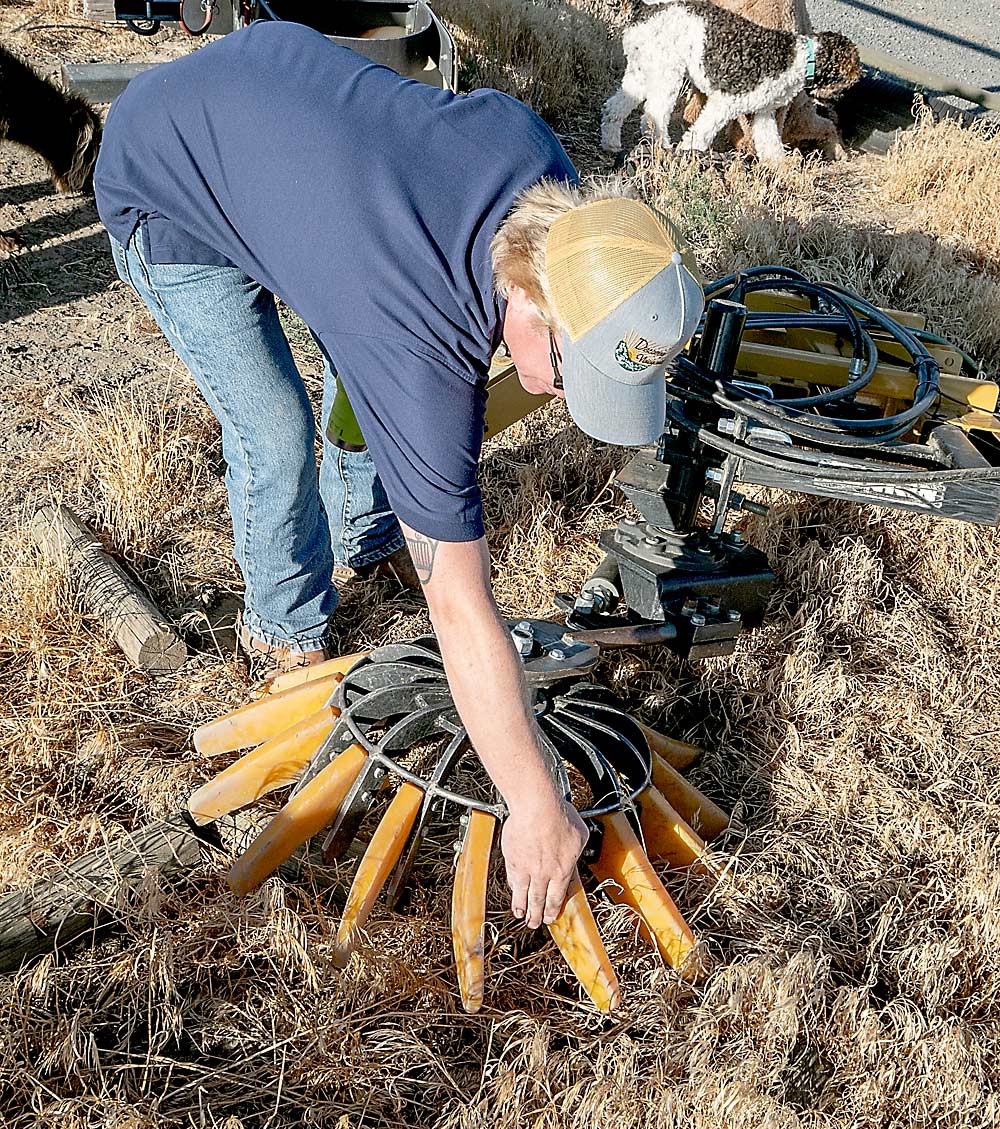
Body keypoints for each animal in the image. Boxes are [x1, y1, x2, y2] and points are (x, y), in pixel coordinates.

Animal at [604, 0, 862, 164]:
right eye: (847, 84)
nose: (839, 104)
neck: (798, 57)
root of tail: (647, 9)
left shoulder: (763, 114)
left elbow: (771, 147)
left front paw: (783, 172)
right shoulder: (724, 104)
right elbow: (700, 135)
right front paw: (687, 156)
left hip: (641, 72)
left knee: (614, 108)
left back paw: (610, 143)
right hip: (667, 74)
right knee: (653, 114)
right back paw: (662, 148)